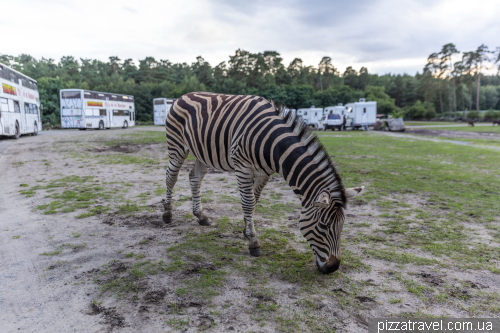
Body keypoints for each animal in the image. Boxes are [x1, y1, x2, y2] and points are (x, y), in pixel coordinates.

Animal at [164, 91, 364, 272]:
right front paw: (253, 243)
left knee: (195, 178)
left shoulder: (265, 173)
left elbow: (254, 201)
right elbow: (248, 202)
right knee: (170, 177)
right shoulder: (242, 166)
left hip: (203, 154)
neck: (273, 145)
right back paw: (167, 214)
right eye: (324, 225)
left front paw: (246, 232)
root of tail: (183, 96)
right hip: (177, 146)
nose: (333, 268)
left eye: (343, 225)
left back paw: (201, 216)